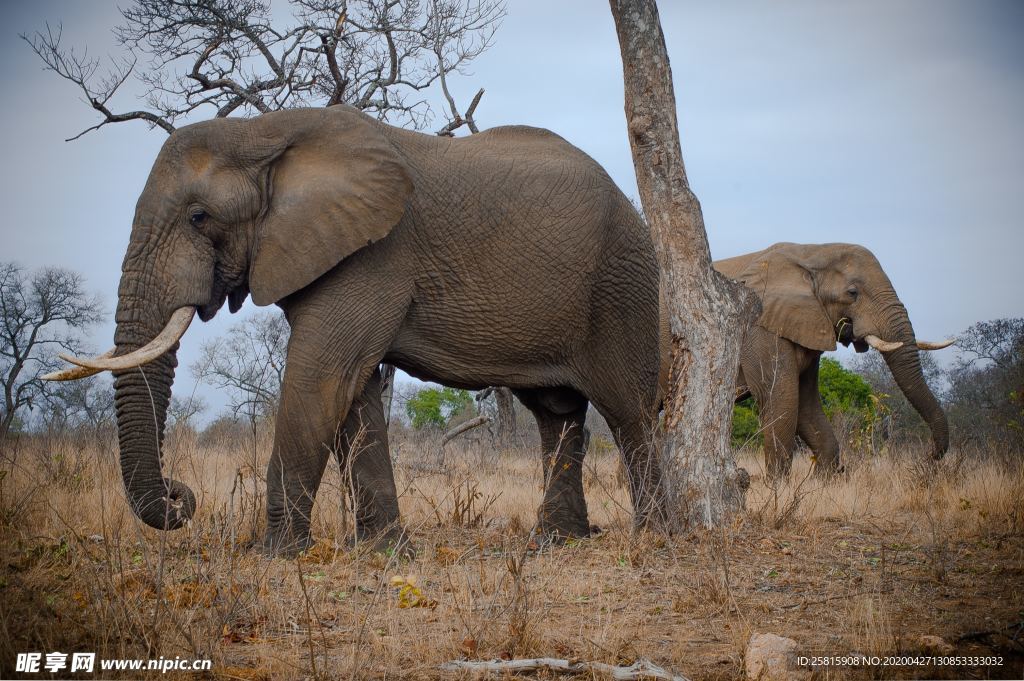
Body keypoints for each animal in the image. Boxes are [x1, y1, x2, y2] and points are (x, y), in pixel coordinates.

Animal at [48, 104, 667, 552]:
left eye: (199, 218)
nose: (181, 498)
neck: (263, 134)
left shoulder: (373, 253)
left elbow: (321, 374)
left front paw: (276, 555)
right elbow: (353, 391)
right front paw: (381, 551)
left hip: (625, 283)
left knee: (628, 412)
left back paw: (656, 537)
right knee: (556, 413)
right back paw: (557, 542)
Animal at [712, 242, 950, 477]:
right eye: (852, 293)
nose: (929, 456)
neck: (811, 251)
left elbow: (806, 405)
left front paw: (821, 479)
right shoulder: (760, 328)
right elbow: (778, 398)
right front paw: (777, 485)